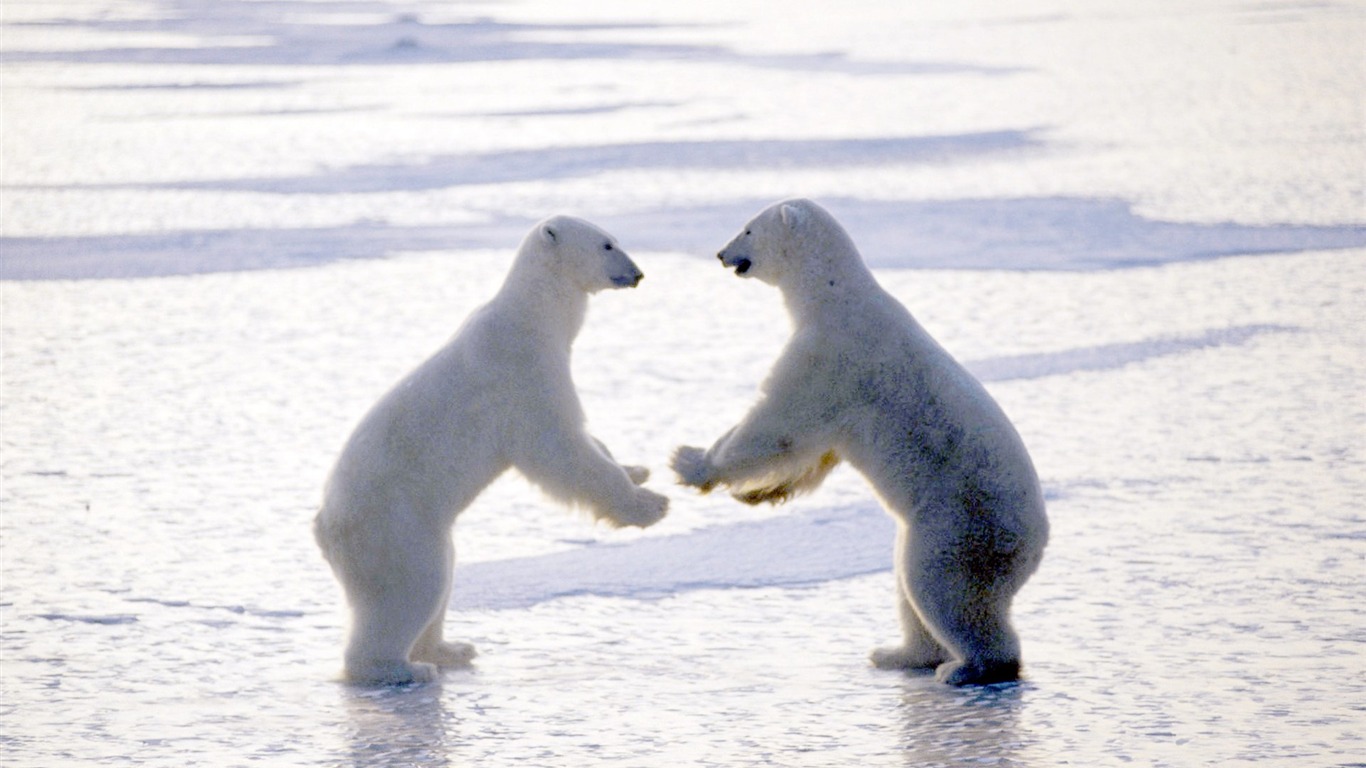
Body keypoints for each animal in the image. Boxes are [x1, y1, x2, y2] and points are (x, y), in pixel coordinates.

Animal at [315, 215, 669, 685]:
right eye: (607, 245)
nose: (638, 274)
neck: (531, 315)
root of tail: (324, 527)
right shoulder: (522, 373)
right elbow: (558, 447)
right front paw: (650, 504)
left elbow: (588, 442)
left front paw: (637, 469)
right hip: (392, 526)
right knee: (411, 587)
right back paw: (402, 668)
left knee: (443, 576)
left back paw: (451, 649)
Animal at [671, 198, 1048, 686]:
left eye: (748, 229)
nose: (720, 253)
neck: (834, 293)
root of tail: (1034, 546)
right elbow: (816, 451)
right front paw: (759, 494)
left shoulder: (829, 354)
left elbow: (779, 424)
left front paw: (690, 462)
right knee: (909, 587)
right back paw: (898, 654)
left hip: (961, 525)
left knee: (941, 590)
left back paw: (968, 667)